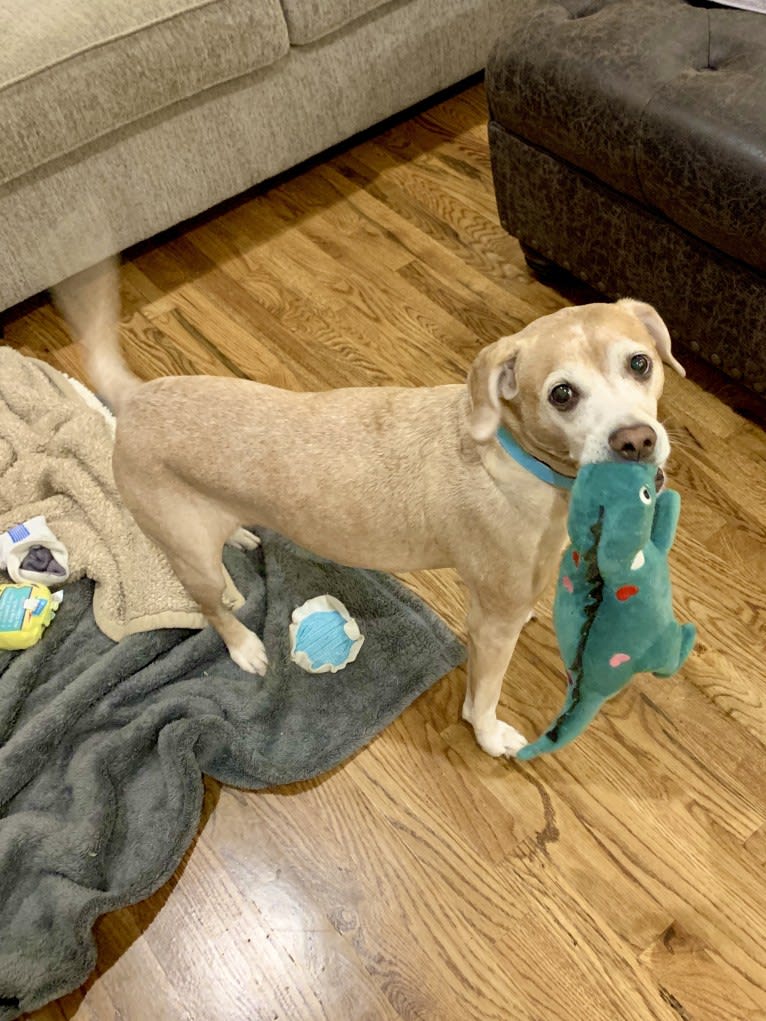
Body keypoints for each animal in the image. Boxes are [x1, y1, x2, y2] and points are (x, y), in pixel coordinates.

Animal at [56, 263, 686, 759]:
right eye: (562, 394)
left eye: (640, 363)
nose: (636, 441)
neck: (513, 454)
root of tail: (136, 398)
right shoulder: (490, 626)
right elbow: (483, 696)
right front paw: (490, 737)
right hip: (191, 557)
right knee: (213, 609)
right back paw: (246, 647)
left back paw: (238, 536)